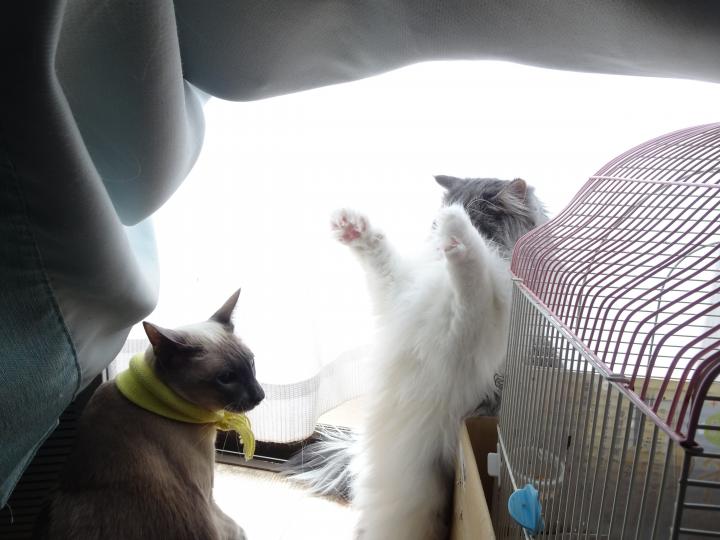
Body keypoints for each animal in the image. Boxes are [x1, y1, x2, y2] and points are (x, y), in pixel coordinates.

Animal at [288, 176, 547, 540]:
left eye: (478, 220)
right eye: (432, 226)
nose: (439, 242)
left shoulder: (467, 338)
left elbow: (472, 281)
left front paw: (460, 232)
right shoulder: (398, 294)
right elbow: (382, 258)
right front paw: (351, 227)